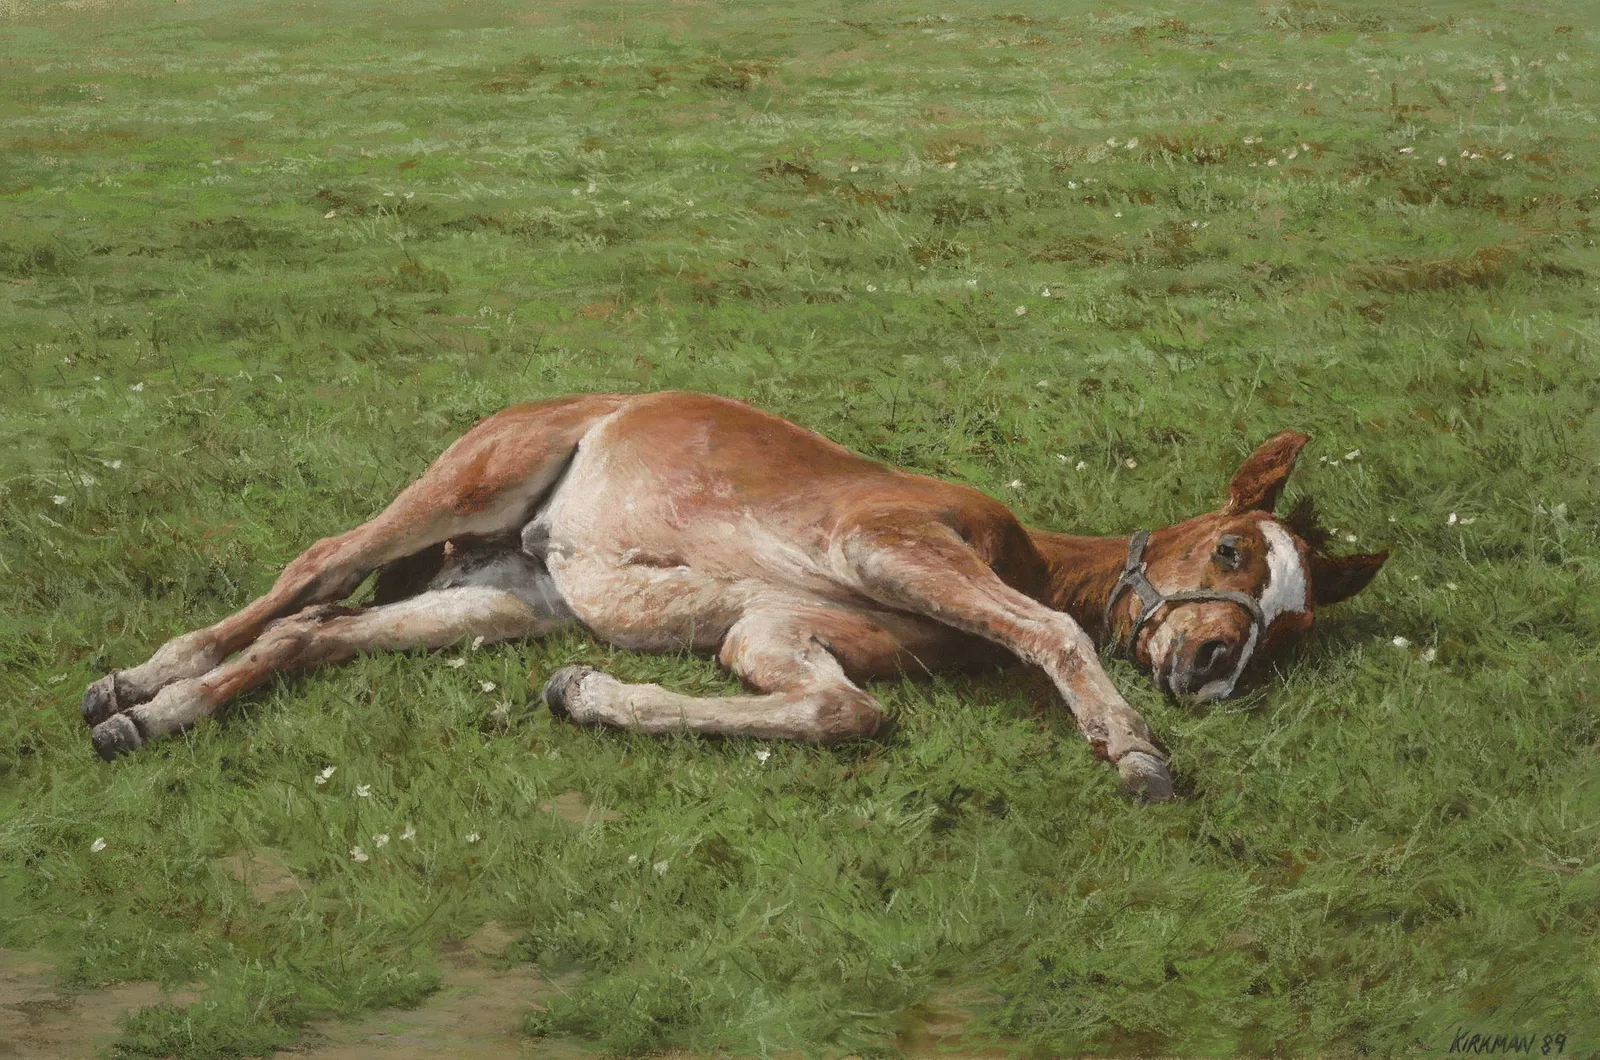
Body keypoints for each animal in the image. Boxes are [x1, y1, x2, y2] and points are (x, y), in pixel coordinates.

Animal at [82, 391, 1386, 801]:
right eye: (1230, 547)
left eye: (1290, 625)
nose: (1209, 666)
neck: (1014, 548)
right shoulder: (886, 547)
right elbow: (1053, 627)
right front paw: (1135, 749)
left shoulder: (776, 631)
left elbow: (839, 710)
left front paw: (584, 694)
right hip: (472, 481)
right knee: (311, 568)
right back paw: (134, 681)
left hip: (500, 596)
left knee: (321, 630)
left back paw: (153, 718)